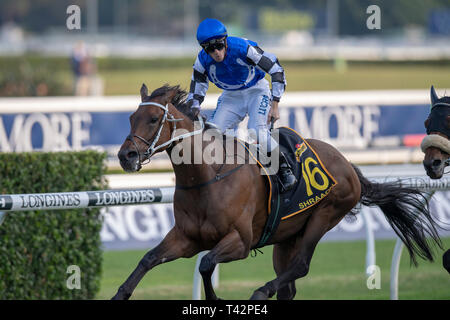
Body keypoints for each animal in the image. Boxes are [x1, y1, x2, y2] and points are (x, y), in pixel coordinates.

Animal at [112, 84, 442, 298]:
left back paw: (261, 291)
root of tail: (347, 163)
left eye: (153, 119)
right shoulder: (187, 237)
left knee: (300, 266)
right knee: (289, 285)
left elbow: (206, 264)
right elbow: (148, 259)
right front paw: (120, 293)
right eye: (130, 118)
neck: (208, 177)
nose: (125, 156)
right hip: (287, 236)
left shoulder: (240, 242)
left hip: (325, 215)